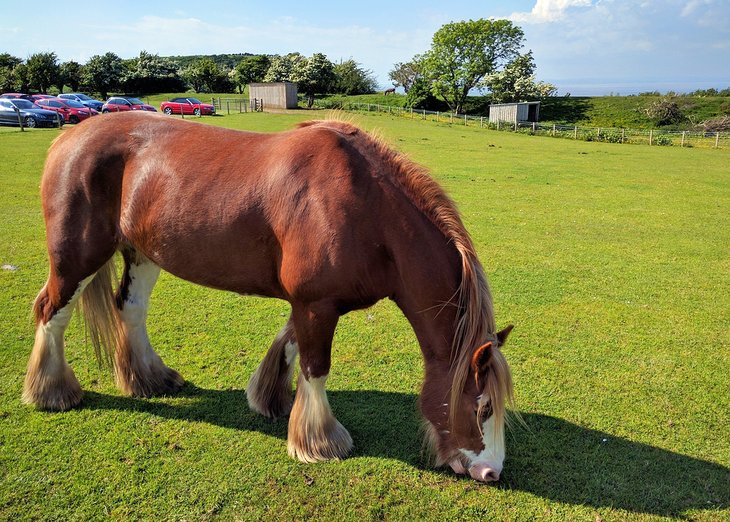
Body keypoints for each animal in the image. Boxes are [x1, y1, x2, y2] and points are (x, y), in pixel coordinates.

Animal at [22, 111, 512, 482]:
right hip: (77, 256)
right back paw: (51, 392)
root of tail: (68, 136)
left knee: (131, 309)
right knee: (51, 311)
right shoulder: (316, 304)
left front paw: (271, 400)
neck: (366, 208)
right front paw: (319, 441)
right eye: (482, 406)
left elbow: (289, 346)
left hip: (142, 252)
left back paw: (149, 379)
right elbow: (315, 367)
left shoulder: (313, 303)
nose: (491, 472)